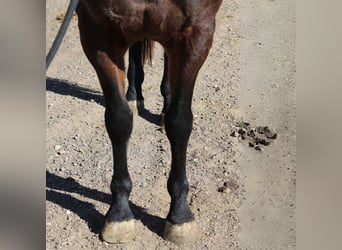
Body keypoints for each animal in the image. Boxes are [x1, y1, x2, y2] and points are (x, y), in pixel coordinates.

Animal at [75, 0, 222, 245]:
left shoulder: (197, 31)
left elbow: (179, 122)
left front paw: (180, 215)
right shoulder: (97, 30)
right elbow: (119, 119)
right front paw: (119, 214)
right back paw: (134, 96)